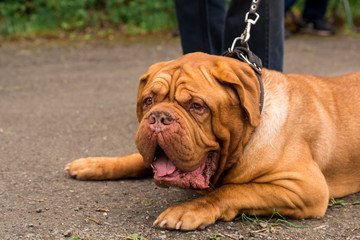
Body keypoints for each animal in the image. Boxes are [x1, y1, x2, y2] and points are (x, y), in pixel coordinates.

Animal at [66, 53, 360, 231]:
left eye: (197, 106)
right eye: (148, 100)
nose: (159, 117)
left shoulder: (306, 188)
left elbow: (232, 191)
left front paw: (188, 209)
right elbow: (135, 159)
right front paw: (94, 164)